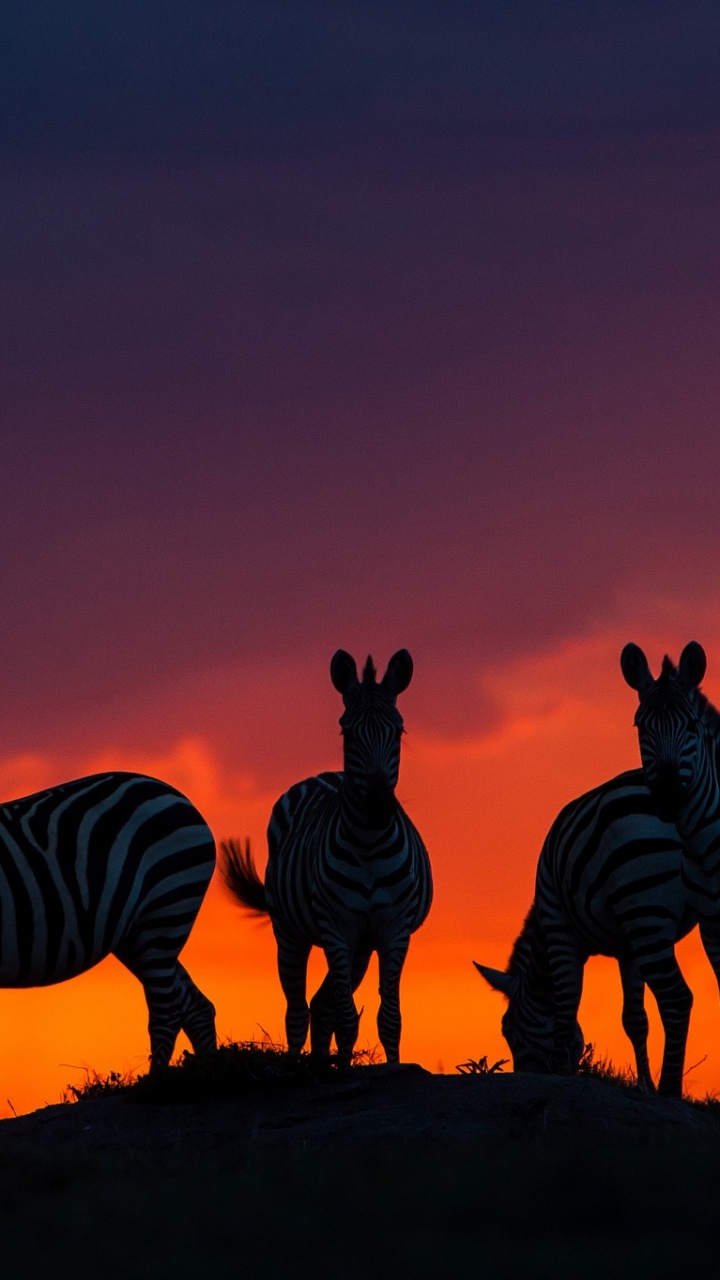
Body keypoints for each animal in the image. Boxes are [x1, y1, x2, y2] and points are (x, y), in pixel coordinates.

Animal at [0, 771, 217, 1068]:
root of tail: (178, 795)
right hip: (137, 934)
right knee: (195, 1006)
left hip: (165, 912)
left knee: (166, 1014)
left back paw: (156, 1079)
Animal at [222, 649, 433, 1065]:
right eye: (347, 733)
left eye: (399, 731)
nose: (379, 805)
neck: (369, 845)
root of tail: (325, 774)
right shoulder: (337, 930)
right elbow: (347, 1019)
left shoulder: (393, 930)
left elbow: (389, 1018)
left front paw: (391, 1067)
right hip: (290, 934)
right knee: (298, 1010)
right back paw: (301, 1065)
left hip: (360, 948)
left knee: (322, 1006)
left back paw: (323, 1062)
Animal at [476, 768, 697, 1095]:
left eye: (508, 1030)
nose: (527, 1077)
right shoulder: (629, 950)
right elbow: (635, 1020)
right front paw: (644, 1088)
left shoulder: (559, 932)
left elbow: (565, 1010)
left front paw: (560, 1076)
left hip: (645, 909)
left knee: (675, 999)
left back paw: (669, 1092)